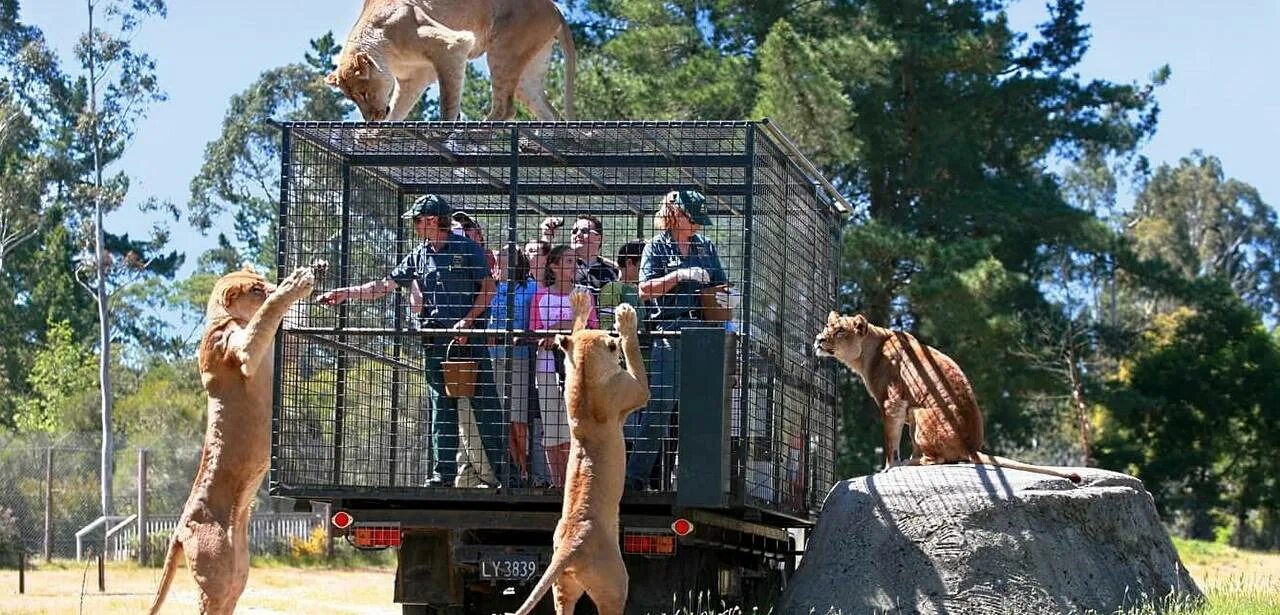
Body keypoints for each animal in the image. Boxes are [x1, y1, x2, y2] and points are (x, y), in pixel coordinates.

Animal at [147, 261, 322, 612]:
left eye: (263, 280)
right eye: (256, 289)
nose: (272, 284)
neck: (223, 318)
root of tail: (179, 527)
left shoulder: (280, 353)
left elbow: (290, 327)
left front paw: (314, 275)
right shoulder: (241, 352)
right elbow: (265, 316)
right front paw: (294, 284)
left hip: (237, 573)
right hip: (214, 572)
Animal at [325, 0, 576, 121]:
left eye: (364, 93)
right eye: (353, 99)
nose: (371, 118)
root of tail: (555, 8)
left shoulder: (452, 45)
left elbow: (448, 100)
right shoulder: (413, 79)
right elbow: (396, 109)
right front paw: (373, 135)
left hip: (503, 49)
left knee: (506, 108)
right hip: (526, 76)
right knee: (550, 114)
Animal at [512, 292, 650, 615]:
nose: (613, 330)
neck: (587, 376)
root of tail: (570, 546)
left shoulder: (570, 385)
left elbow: (569, 340)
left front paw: (578, 306)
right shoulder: (634, 392)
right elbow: (634, 355)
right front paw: (626, 320)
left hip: (564, 587)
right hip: (615, 584)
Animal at [808, 315, 1080, 481]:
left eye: (840, 331)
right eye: (826, 327)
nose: (819, 340)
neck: (868, 351)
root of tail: (971, 447)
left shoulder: (892, 402)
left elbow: (890, 442)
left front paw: (887, 468)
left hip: (920, 413)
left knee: (936, 459)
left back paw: (909, 464)